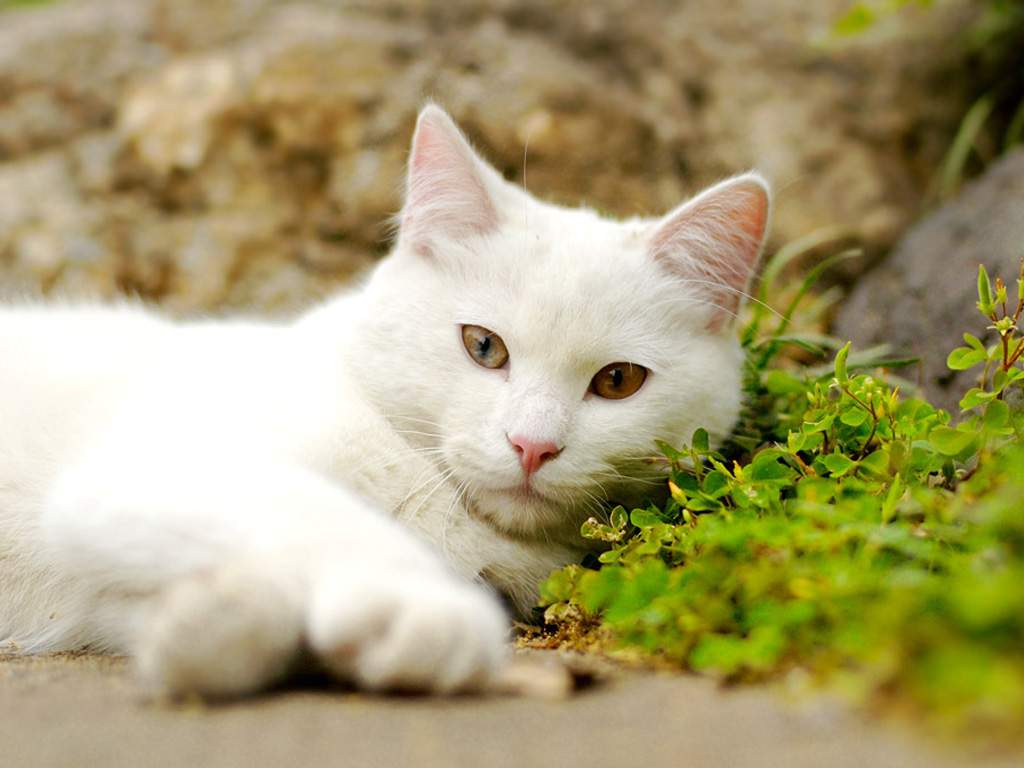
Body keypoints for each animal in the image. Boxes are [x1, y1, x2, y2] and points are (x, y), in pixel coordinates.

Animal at [0, 105, 770, 700]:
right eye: (483, 346)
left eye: (617, 381)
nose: (533, 445)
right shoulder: (147, 470)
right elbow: (322, 515)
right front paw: (423, 611)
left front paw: (209, 629)